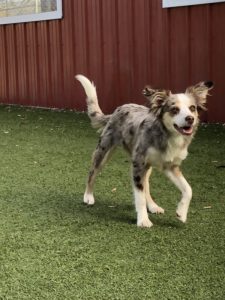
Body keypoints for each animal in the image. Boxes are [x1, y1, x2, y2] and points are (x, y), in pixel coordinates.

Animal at [76, 75, 213, 227]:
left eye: (192, 108)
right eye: (174, 110)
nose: (190, 118)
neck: (166, 135)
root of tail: (118, 109)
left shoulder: (170, 166)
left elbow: (188, 189)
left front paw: (181, 213)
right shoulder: (138, 164)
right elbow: (139, 196)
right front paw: (143, 220)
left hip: (147, 166)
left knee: (146, 184)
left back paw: (153, 206)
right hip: (104, 151)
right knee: (92, 172)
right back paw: (88, 196)